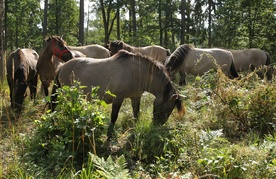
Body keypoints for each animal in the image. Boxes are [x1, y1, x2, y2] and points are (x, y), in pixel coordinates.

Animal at [51, 49, 185, 136]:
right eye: (168, 108)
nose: (157, 125)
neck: (136, 72)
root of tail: (62, 67)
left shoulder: (135, 97)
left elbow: (136, 114)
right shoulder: (118, 99)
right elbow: (114, 117)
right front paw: (109, 134)